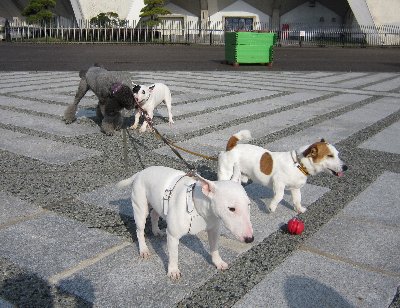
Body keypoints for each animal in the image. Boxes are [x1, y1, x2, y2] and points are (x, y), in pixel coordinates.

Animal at [116, 166, 253, 280]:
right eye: (231, 208)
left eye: (249, 204)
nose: (250, 239)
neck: (197, 207)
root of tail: (140, 173)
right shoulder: (173, 235)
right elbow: (173, 255)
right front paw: (173, 271)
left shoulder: (214, 229)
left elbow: (214, 247)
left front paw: (218, 263)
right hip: (140, 206)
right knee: (139, 229)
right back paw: (144, 249)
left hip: (156, 203)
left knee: (154, 214)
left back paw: (156, 231)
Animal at [216, 131, 346, 214]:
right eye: (330, 156)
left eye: (337, 154)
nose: (346, 167)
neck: (298, 164)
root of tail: (231, 147)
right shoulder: (278, 182)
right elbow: (280, 195)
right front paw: (272, 207)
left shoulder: (295, 188)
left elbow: (297, 200)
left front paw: (299, 209)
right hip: (226, 173)